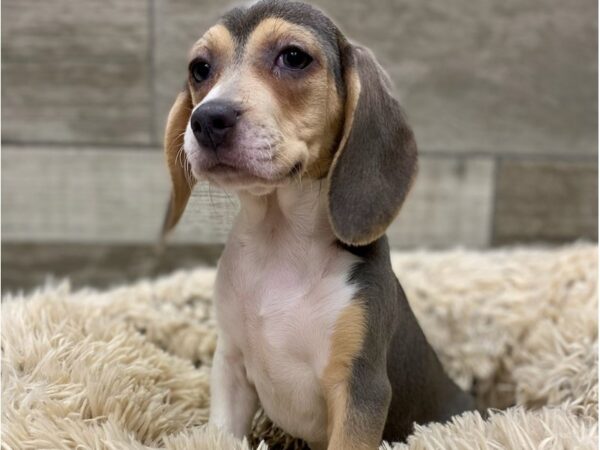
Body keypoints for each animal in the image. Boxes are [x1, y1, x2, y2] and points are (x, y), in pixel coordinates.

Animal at [162, 1, 476, 448]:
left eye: (294, 57)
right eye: (200, 68)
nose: (206, 119)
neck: (280, 242)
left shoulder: (360, 388)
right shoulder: (230, 368)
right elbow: (222, 432)